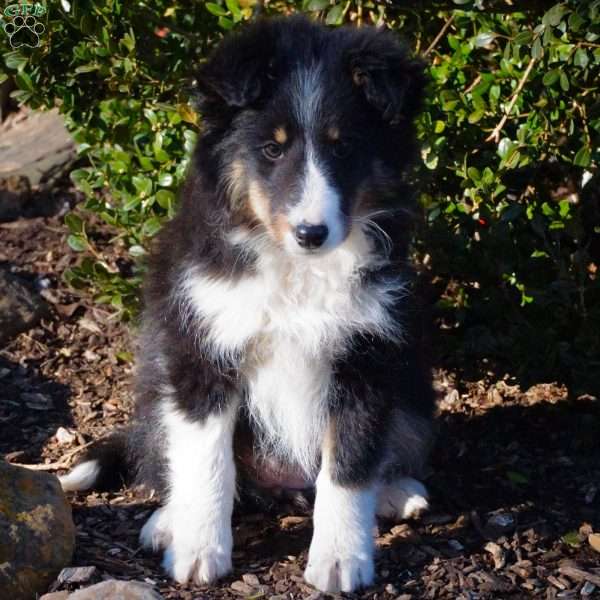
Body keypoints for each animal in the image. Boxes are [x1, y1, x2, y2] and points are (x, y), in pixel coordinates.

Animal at [61, 16, 434, 592]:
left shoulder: (364, 356)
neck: (295, 268)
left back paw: (396, 492)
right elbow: (206, 461)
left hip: (412, 390)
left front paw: (340, 561)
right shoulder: (203, 349)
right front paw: (198, 553)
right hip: (158, 381)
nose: (311, 233)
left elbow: (349, 465)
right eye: (272, 151)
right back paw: (168, 522)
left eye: (344, 148)